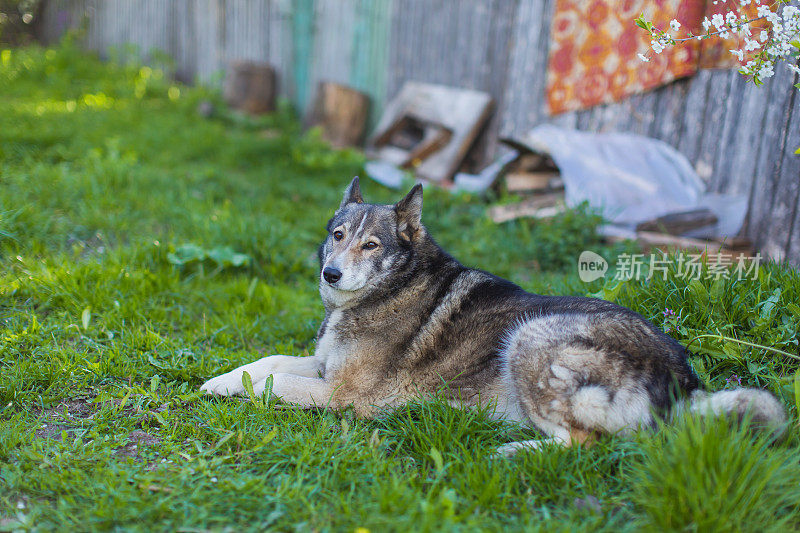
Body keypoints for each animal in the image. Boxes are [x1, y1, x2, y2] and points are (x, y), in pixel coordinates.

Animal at [202, 177, 788, 450]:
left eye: (372, 245)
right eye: (338, 235)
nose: (331, 274)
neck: (389, 289)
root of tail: (685, 381)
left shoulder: (344, 395)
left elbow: (274, 381)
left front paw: (232, 388)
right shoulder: (323, 366)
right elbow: (267, 363)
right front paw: (218, 379)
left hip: (532, 338)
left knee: (582, 444)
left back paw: (508, 450)